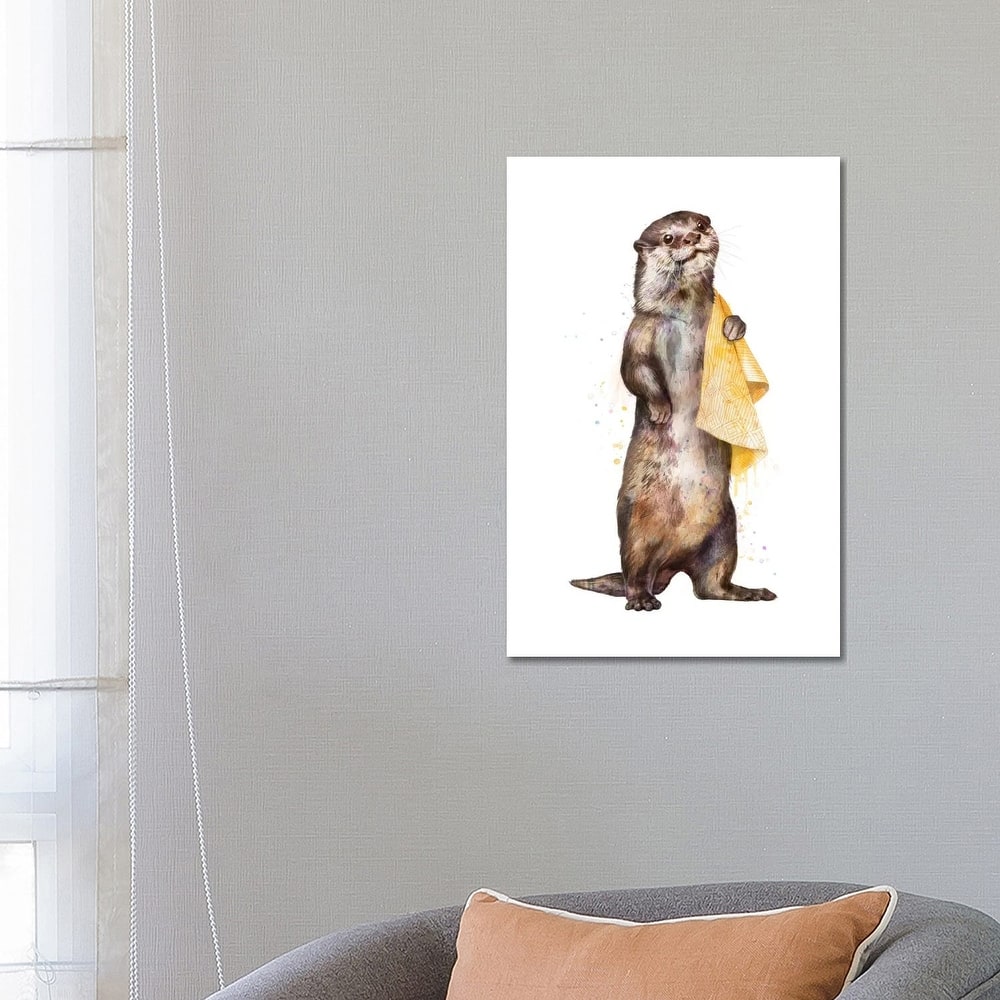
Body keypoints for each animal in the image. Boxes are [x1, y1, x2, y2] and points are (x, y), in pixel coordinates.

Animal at [571, 211, 776, 610]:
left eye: (701, 224)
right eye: (668, 237)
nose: (692, 238)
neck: (683, 318)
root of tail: (671, 563)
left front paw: (734, 326)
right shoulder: (639, 331)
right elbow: (634, 372)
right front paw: (662, 409)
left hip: (725, 536)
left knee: (710, 586)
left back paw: (748, 592)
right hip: (636, 529)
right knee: (635, 573)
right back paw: (642, 600)